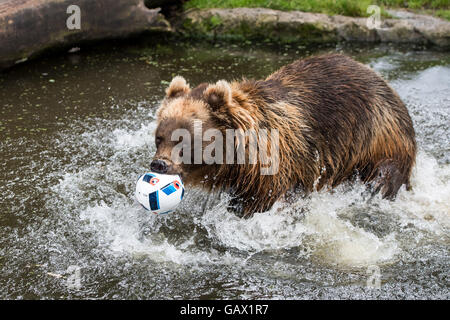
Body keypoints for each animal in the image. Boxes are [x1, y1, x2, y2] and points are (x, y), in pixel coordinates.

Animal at [153, 53, 416, 218]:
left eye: (184, 140)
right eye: (159, 137)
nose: (159, 164)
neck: (240, 161)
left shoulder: (282, 169)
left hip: (379, 136)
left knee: (384, 173)